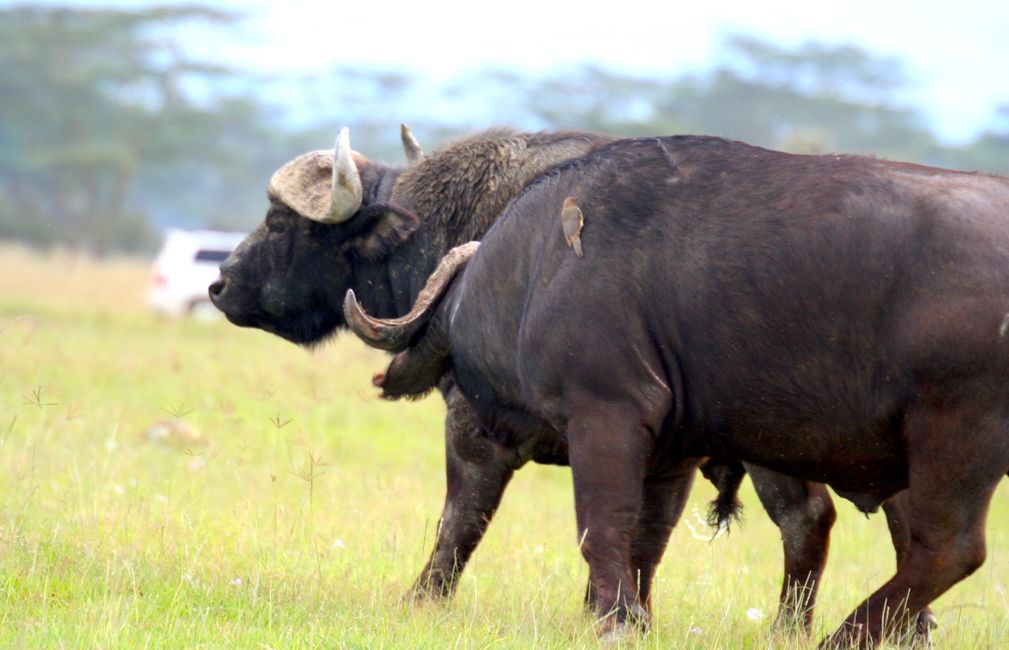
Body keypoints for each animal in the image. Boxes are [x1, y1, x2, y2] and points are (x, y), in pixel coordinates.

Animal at [212, 127, 932, 639]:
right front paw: (612, 616)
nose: (220, 284)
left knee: (810, 519)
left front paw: (422, 599)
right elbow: (636, 534)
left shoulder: (477, 424)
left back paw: (800, 628)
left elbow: (462, 518)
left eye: (281, 223)